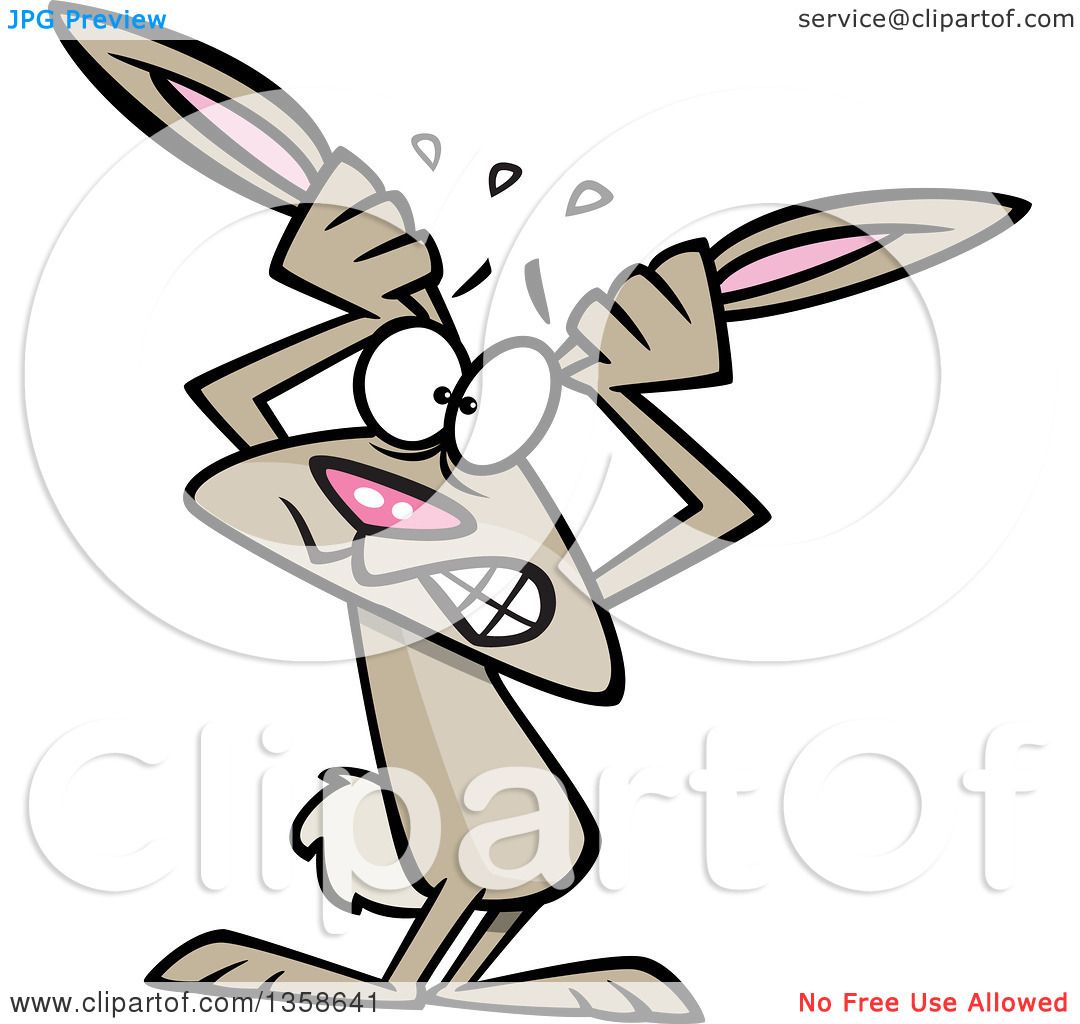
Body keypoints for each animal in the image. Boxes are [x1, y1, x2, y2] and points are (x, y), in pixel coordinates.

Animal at [50, 1, 1028, 1017]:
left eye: (503, 414)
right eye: (416, 386)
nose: (432, 464)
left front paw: (651, 328)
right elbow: (232, 400)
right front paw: (359, 246)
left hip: (503, 856)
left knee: (467, 928)